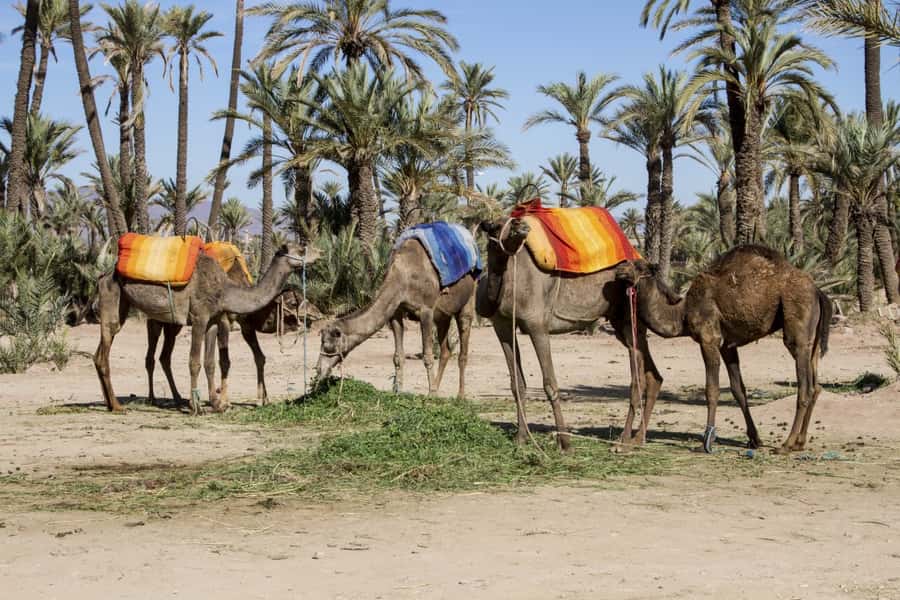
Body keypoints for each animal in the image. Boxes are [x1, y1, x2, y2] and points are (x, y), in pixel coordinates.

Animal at [95, 244, 310, 415]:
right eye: (301, 249)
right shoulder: (200, 317)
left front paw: (216, 404)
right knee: (115, 352)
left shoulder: (213, 320)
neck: (227, 289)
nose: (314, 255)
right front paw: (198, 406)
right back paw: (122, 405)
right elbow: (196, 361)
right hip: (115, 298)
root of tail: (104, 275)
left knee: (107, 353)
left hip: (130, 306)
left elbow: (210, 362)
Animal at [316, 239, 476, 398]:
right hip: (443, 315)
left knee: (463, 344)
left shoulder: (426, 311)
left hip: (469, 298)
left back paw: (460, 396)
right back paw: (438, 387)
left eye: (329, 347)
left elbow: (428, 356)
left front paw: (432, 394)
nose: (318, 369)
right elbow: (398, 356)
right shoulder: (396, 311)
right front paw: (398, 391)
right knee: (445, 350)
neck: (402, 275)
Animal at [477, 217, 663, 452]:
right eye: (494, 225)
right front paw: (521, 437)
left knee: (638, 377)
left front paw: (564, 442)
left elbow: (550, 384)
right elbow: (517, 383)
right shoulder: (501, 325)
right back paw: (637, 439)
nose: (521, 225)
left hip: (630, 319)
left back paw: (623, 442)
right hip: (622, 322)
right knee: (653, 376)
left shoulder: (537, 325)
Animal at [616, 244, 832, 453]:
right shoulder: (727, 346)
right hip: (812, 340)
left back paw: (786, 445)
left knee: (805, 387)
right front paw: (755, 439)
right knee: (816, 385)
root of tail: (818, 292)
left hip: (797, 329)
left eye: (639, 266)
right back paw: (800, 442)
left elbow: (712, 389)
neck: (682, 314)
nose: (619, 269)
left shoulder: (708, 339)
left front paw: (707, 441)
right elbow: (738, 389)